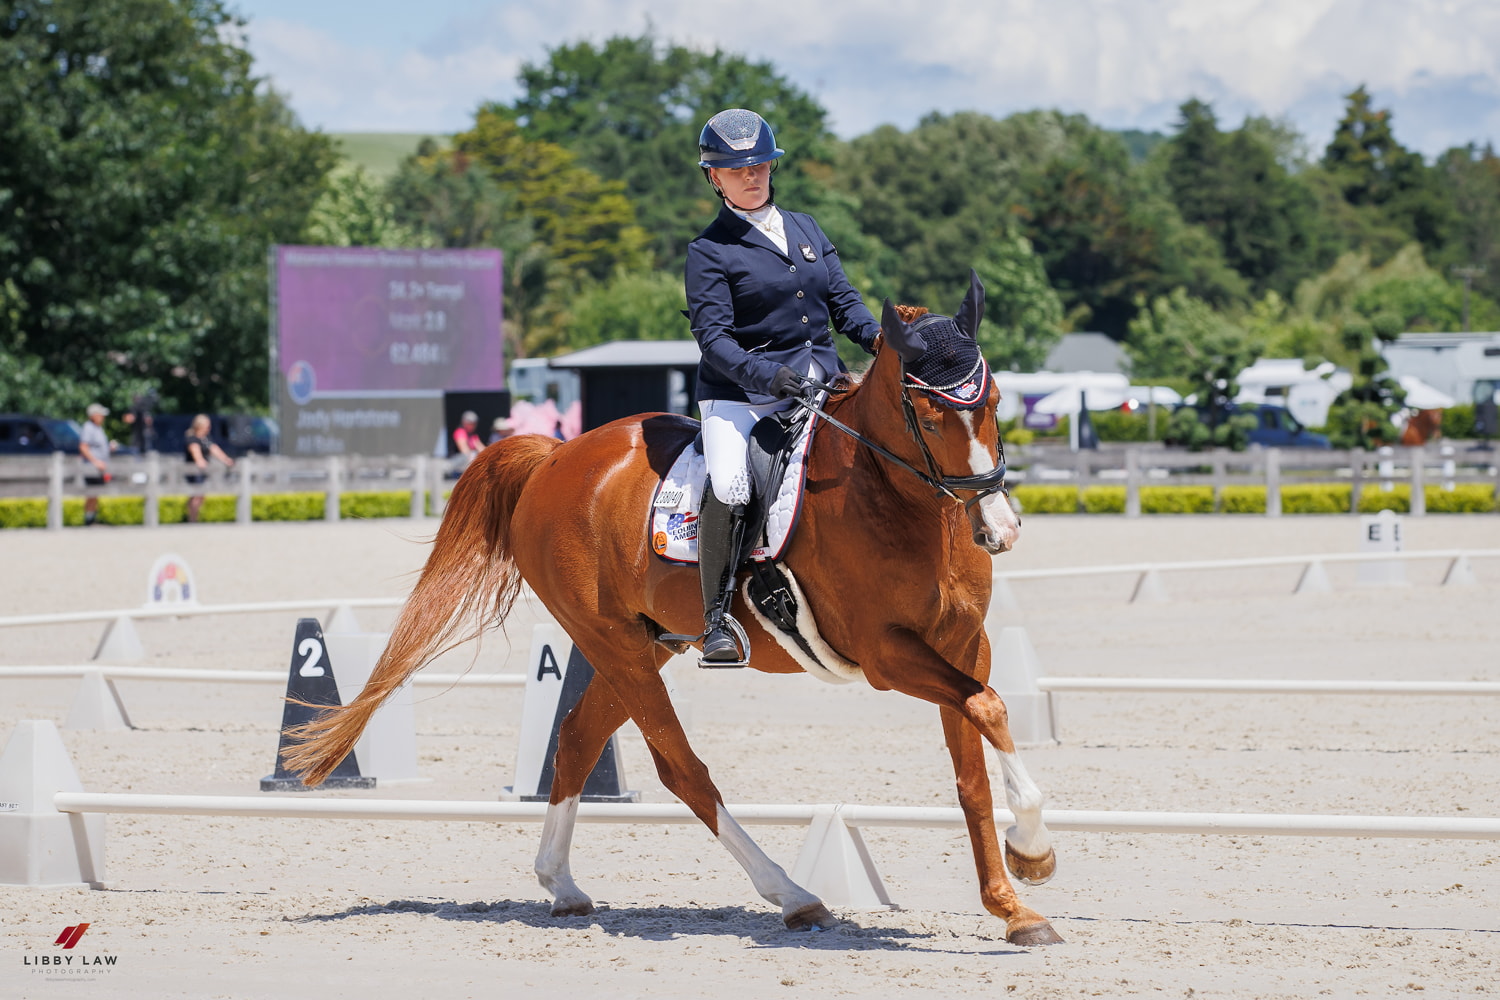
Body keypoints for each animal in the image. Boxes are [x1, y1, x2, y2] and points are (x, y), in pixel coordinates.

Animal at [283, 271, 1068, 947]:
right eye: (929, 416)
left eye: (995, 401)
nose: (999, 528)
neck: (892, 499)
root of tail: (555, 457)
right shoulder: (884, 654)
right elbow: (990, 707)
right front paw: (1033, 851)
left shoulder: (962, 644)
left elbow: (973, 761)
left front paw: (1013, 902)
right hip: (616, 644)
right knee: (680, 769)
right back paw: (793, 896)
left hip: (646, 643)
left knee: (576, 736)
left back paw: (561, 885)